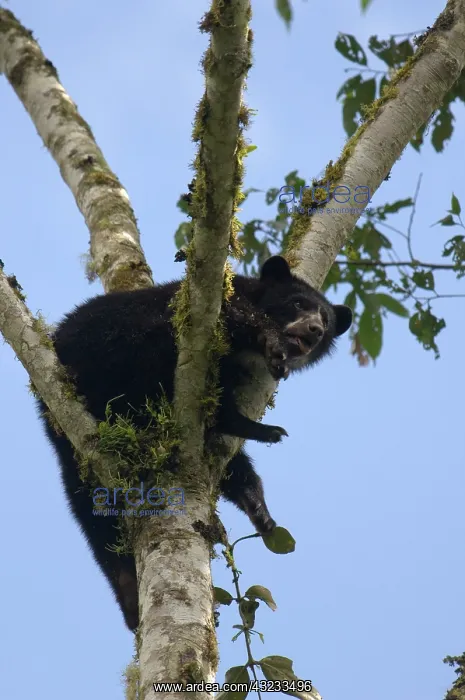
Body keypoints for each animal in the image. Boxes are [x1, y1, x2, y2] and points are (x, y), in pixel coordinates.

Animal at [37, 255, 352, 631]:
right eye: (297, 304)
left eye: (327, 321)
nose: (314, 330)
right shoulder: (210, 301)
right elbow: (232, 315)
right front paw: (271, 345)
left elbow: (232, 461)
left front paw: (261, 511)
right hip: (108, 351)